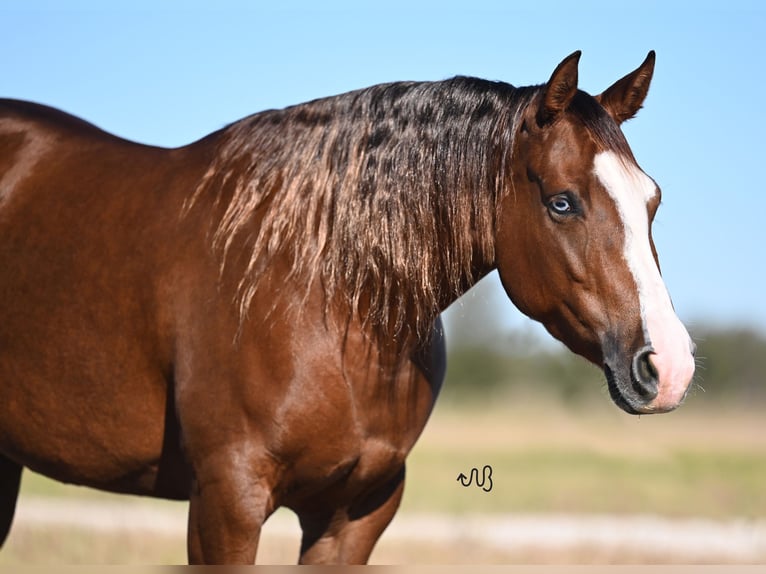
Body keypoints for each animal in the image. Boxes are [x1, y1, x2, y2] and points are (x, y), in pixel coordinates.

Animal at [0, 54, 696, 568]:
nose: (669, 367)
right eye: (561, 201)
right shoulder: (226, 501)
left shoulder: (355, 513)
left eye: (652, 199)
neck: (324, 297)